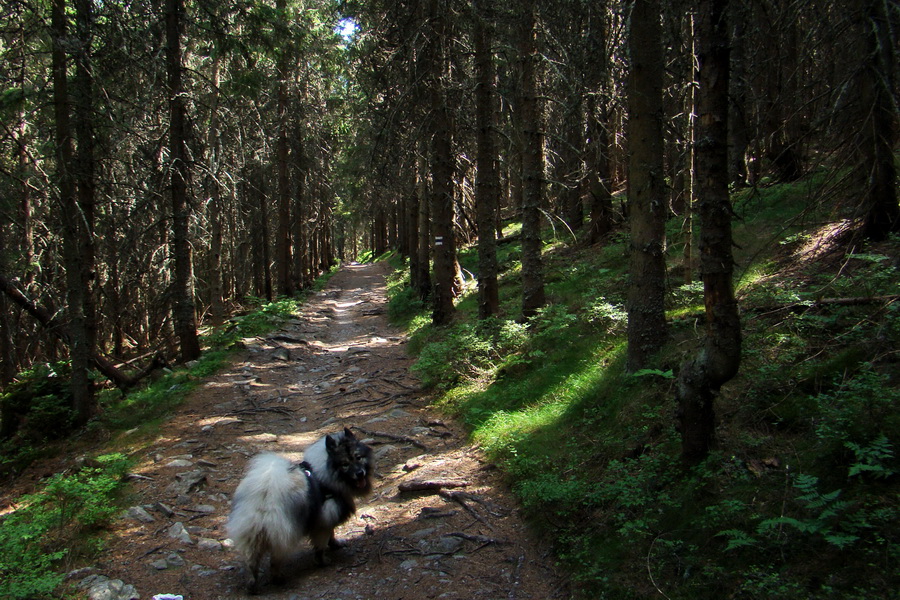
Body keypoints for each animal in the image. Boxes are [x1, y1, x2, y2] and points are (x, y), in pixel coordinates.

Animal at [232, 426, 376, 592]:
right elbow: (321, 544)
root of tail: (264, 497)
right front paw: (322, 561)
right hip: (284, 535)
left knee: (251, 563)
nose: (360, 473)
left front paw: (335, 544)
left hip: (253, 537)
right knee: (275, 560)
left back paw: (252, 585)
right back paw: (278, 579)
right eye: (345, 464)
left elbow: (331, 533)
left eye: (358, 457)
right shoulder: (324, 519)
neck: (326, 473)